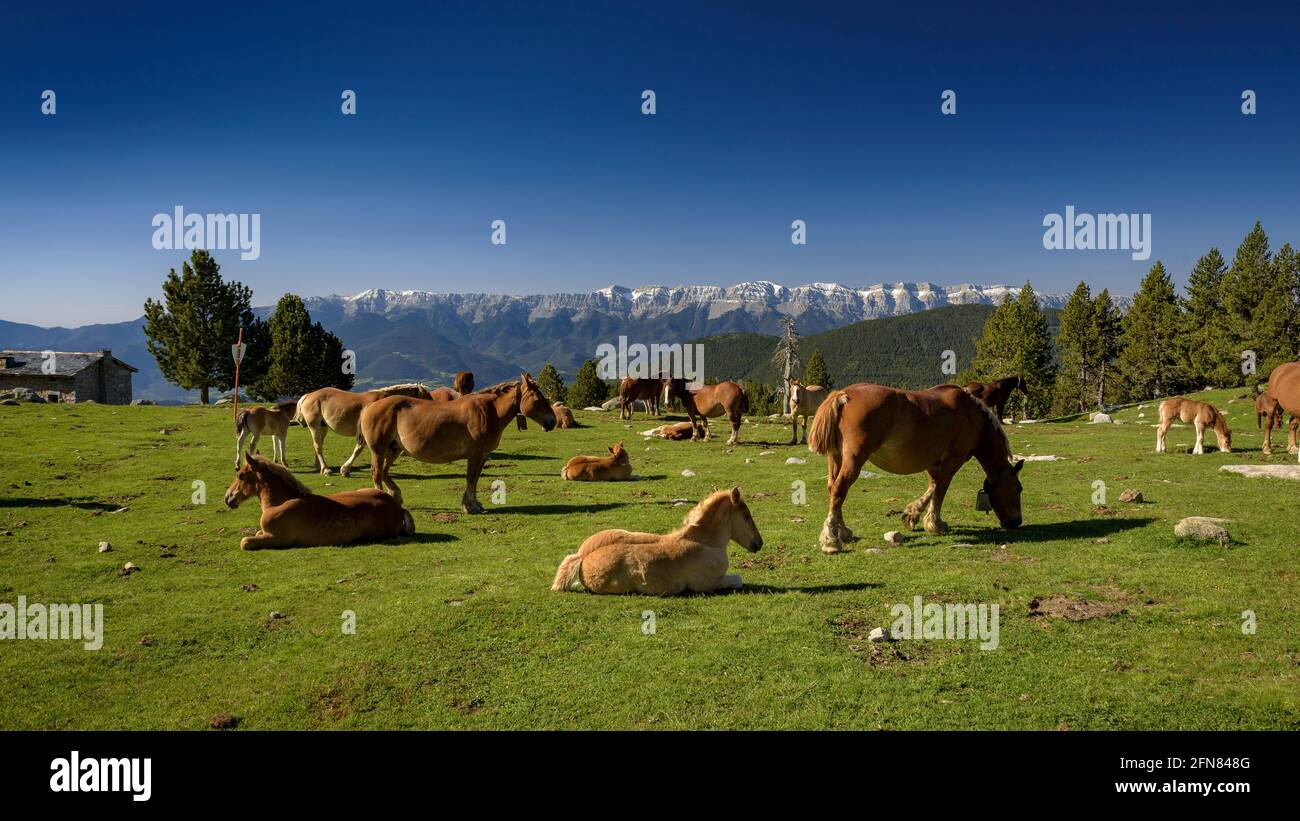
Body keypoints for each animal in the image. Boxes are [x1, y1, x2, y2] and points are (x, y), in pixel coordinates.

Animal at [220, 449, 408, 550]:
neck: (278, 502)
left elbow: (245, 541)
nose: (228, 497)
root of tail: (398, 508)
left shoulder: (279, 538)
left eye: (240, 475)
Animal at [297, 384, 434, 475]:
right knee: (318, 446)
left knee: (318, 444)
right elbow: (358, 449)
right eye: (427, 398)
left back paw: (318, 466)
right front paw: (345, 469)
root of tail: (309, 395)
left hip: (322, 427)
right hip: (314, 426)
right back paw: (325, 469)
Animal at [358, 374, 556, 514]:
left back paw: (395, 495)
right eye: (537, 399)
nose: (552, 422)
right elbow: (470, 479)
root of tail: (370, 407)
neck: (488, 412)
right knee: (377, 473)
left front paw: (474, 504)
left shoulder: (482, 456)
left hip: (394, 449)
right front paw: (470, 506)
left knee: (384, 472)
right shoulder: (475, 456)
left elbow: (475, 479)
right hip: (379, 450)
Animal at [548, 488, 759, 597]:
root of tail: (582, 557)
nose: (759, 543)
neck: (706, 543)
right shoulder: (707, 584)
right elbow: (738, 579)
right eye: (746, 516)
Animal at [800, 384, 1024, 550]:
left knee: (833, 488)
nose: (1016, 522)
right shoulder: (954, 459)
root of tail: (844, 395)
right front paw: (935, 524)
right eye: (1018, 489)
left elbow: (933, 487)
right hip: (853, 460)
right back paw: (831, 540)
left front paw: (912, 515)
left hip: (835, 458)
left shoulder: (934, 462)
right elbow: (941, 489)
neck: (971, 414)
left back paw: (843, 531)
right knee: (839, 489)